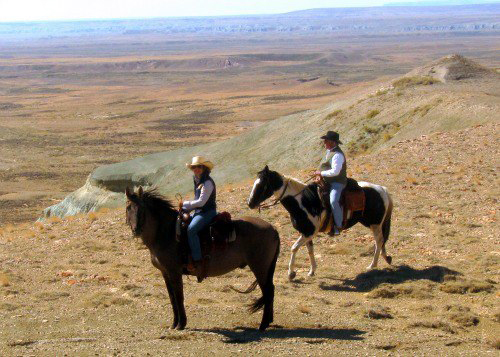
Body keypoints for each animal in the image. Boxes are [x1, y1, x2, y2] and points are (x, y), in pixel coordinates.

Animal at [125, 188, 280, 330]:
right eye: (128, 208)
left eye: (142, 209)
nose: (135, 230)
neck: (167, 233)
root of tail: (273, 229)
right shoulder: (165, 273)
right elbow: (172, 298)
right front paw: (174, 324)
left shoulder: (174, 272)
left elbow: (179, 297)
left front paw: (181, 324)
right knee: (270, 290)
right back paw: (269, 321)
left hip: (260, 268)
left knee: (268, 291)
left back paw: (263, 325)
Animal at [248, 165, 392, 280]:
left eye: (261, 185)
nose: (250, 204)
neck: (303, 202)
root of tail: (382, 189)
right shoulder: (305, 232)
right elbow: (310, 250)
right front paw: (311, 271)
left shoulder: (309, 232)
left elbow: (294, 248)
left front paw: (291, 274)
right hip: (371, 223)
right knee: (381, 240)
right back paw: (386, 258)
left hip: (375, 224)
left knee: (379, 240)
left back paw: (372, 265)